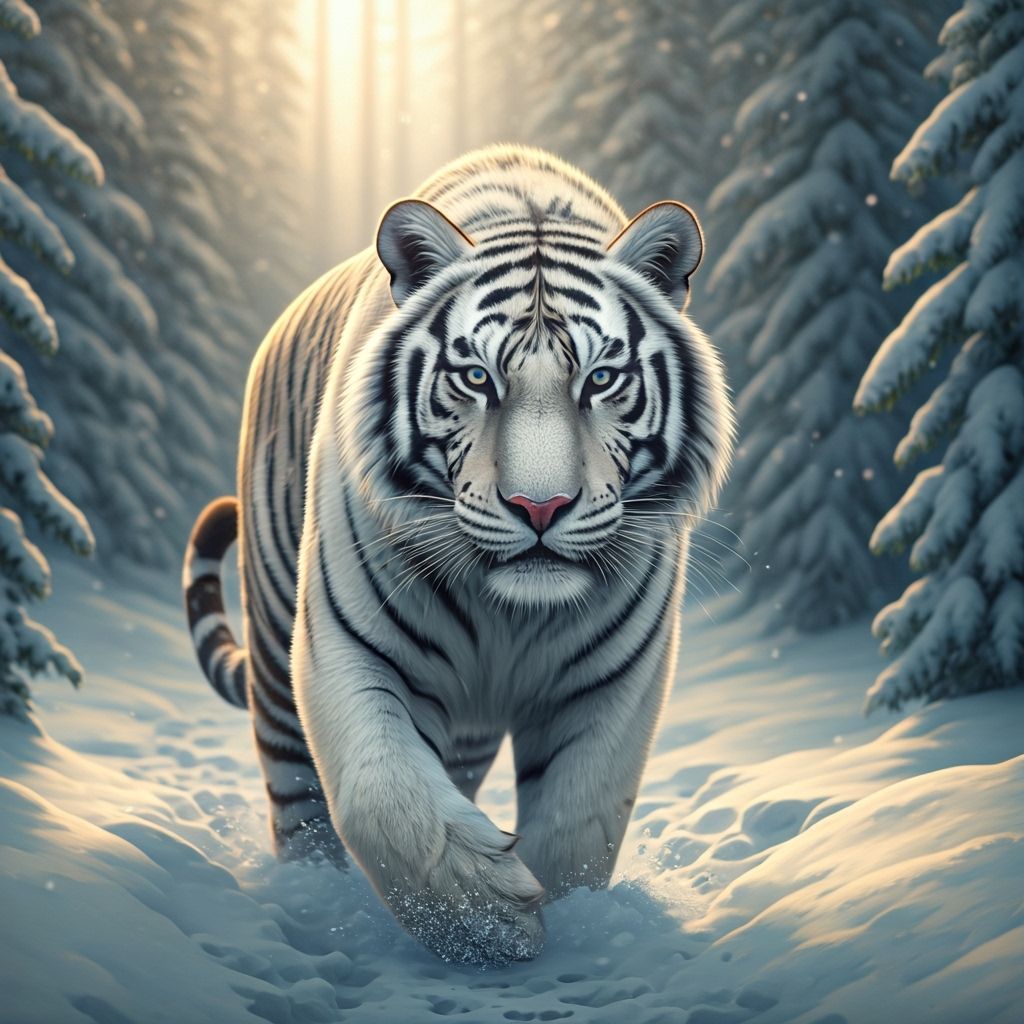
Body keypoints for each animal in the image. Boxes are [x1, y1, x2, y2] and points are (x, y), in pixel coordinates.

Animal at [183, 145, 733, 964]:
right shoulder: (347, 646)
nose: (540, 508)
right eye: (477, 377)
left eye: (600, 379)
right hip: (277, 663)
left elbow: (580, 825)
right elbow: (381, 792)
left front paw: (561, 926)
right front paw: (488, 923)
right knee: (301, 804)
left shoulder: (610, 685)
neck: (510, 612)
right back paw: (316, 899)